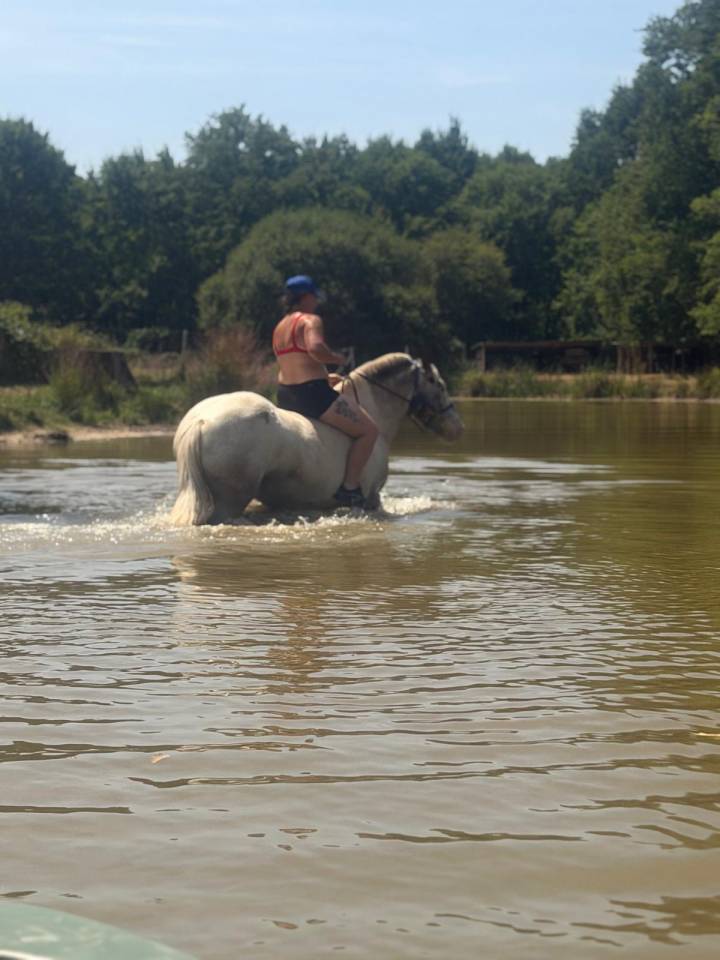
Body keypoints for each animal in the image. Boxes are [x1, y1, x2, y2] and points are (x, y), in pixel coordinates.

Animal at [169, 352, 464, 525]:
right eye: (440, 386)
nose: (456, 428)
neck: (375, 412)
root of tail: (201, 421)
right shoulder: (371, 500)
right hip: (228, 504)